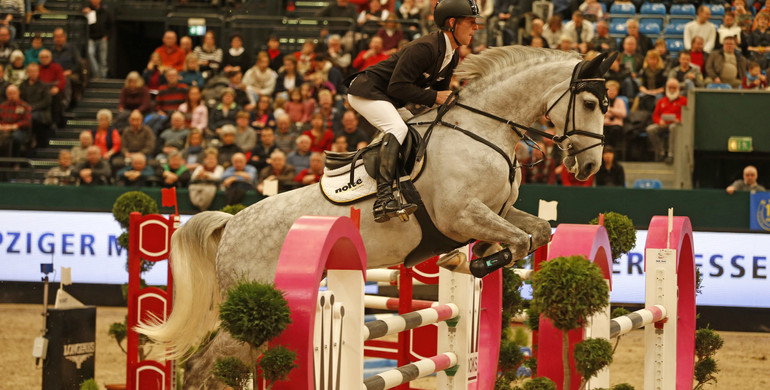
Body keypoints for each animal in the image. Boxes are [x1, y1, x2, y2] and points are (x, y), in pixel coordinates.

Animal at [140, 47, 612, 388]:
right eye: (590, 102)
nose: (589, 167)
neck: (485, 129)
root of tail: (231, 225)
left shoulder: (498, 210)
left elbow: (535, 234)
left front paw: (466, 261)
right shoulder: (460, 215)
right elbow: (517, 241)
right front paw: (472, 261)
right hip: (254, 309)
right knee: (204, 367)